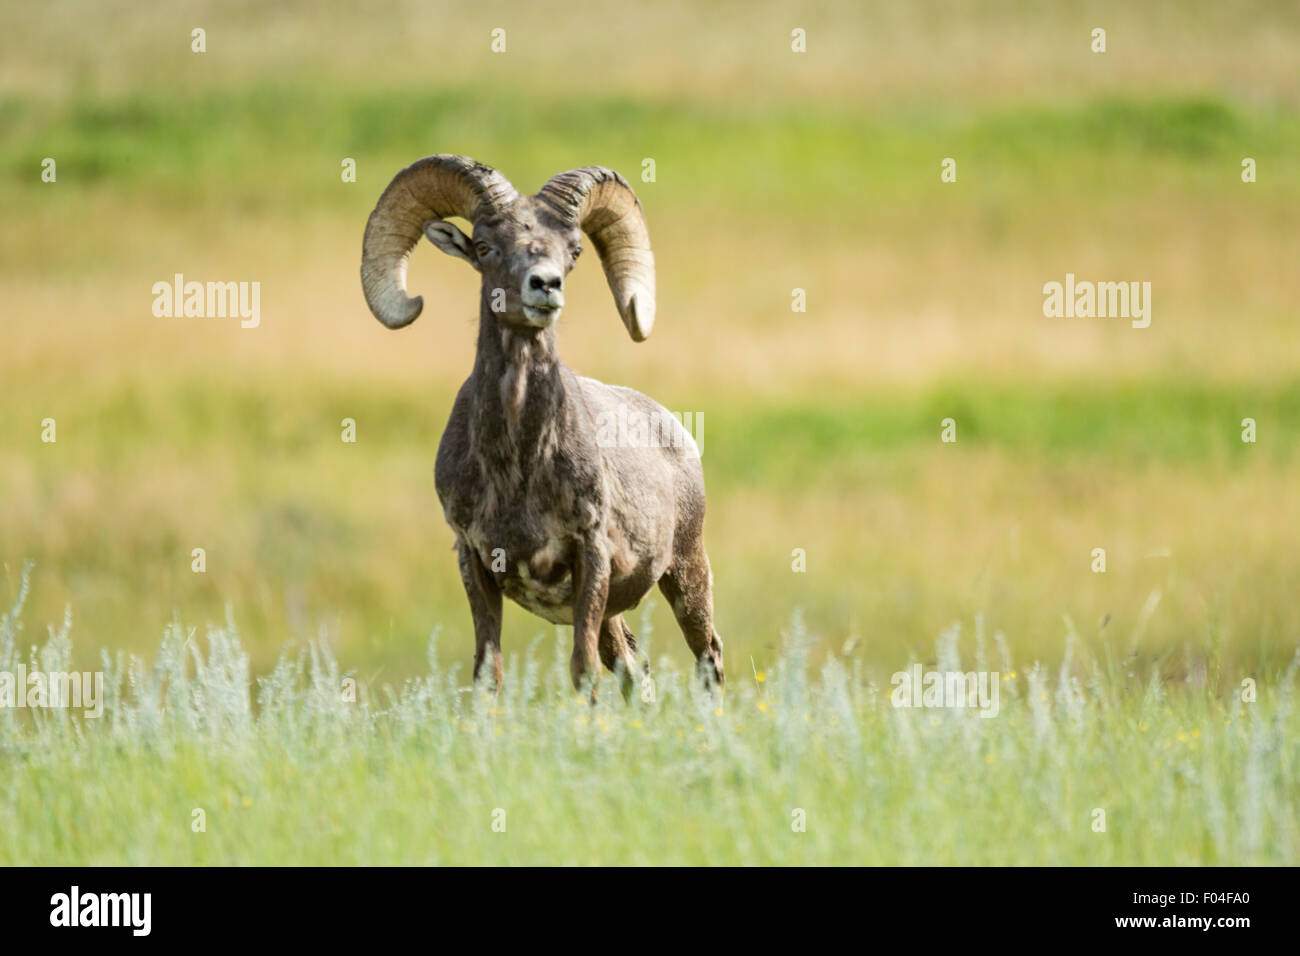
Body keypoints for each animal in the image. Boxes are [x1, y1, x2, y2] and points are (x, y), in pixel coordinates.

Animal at [360, 155, 724, 697]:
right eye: (485, 246)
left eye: (573, 251)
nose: (546, 285)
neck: (518, 465)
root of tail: (673, 428)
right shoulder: (475, 559)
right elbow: (488, 672)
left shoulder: (589, 556)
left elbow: (582, 670)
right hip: (619, 613)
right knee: (634, 671)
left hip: (685, 573)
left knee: (708, 660)